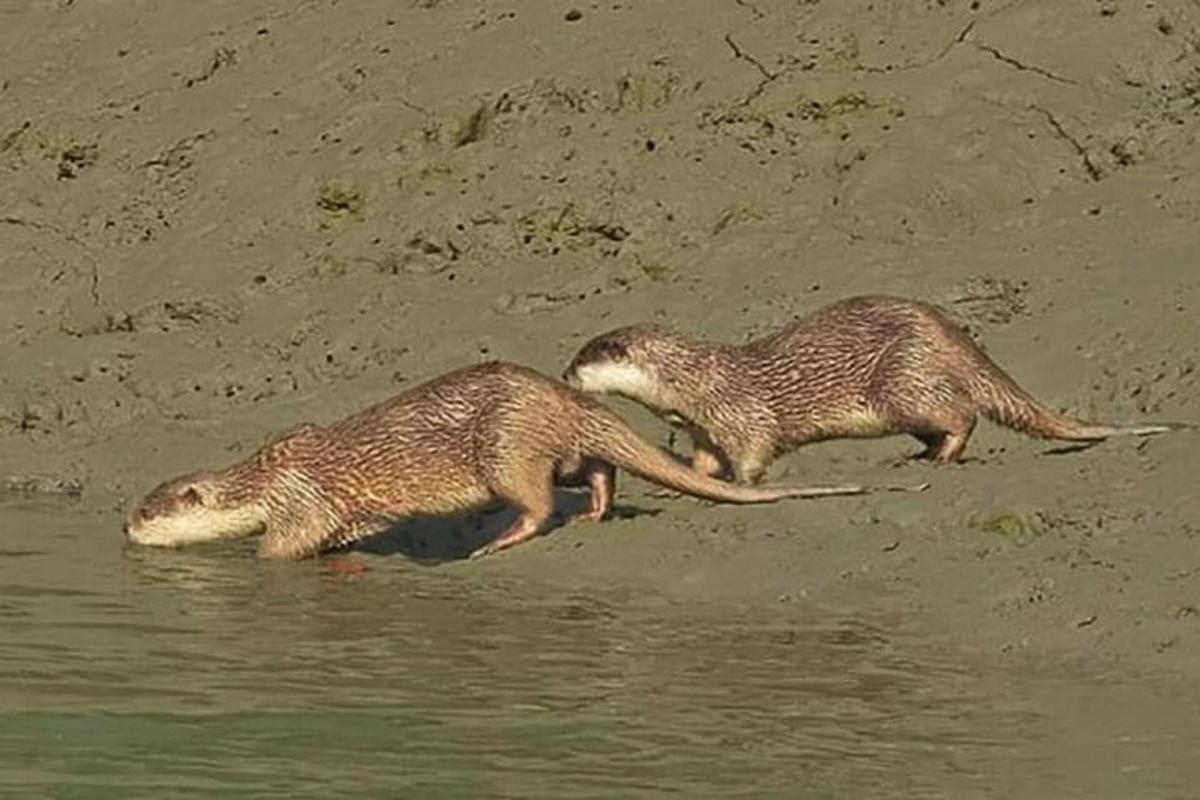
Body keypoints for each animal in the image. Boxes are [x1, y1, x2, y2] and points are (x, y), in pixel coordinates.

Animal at [126, 359, 868, 561]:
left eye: (149, 511)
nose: (125, 527)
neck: (269, 474)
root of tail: (564, 397)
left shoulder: (298, 498)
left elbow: (282, 548)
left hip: (506, 445)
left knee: (537, 502)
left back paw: (496, 543)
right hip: (554, 444)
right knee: (595, 469)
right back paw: (595, 513)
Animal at [564, 293, 1180, 482]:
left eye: (579, 358)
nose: (565, 374)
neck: (694, 385)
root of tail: (948, 331)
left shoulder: (740, 413)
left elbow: (755, 450)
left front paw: (745, 484)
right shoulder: (704, 429)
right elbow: (705, 462)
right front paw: (688, 482)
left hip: (903, 381)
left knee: (961, 414)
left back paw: (942, 458)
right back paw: (919, 456)